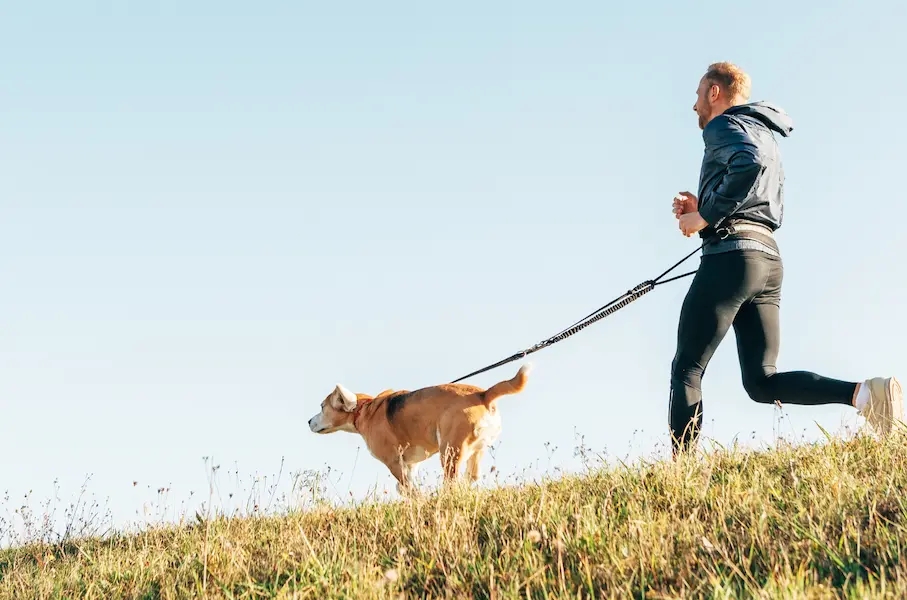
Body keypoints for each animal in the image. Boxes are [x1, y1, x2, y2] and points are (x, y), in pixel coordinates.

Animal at [310, 364, 532, 494]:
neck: (364, 408)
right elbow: (404, 485)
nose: (308, 421)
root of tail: (484, 394)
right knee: (471, 477)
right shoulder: (410, 464)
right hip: (476, 449)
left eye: (322, 407)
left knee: (452, 481)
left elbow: (408, 488)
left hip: (450, 451)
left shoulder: (394, 462)